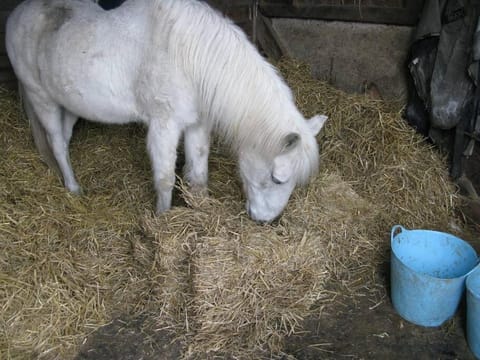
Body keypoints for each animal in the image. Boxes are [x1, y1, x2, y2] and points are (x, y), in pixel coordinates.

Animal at [4, 0, 326, 222]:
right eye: (278, 179)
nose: (265, 220)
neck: (190, 58)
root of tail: (18, 12)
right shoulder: (164, 126)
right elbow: (165, 178)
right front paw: (162, 220)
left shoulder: (197, 124)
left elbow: (198, 173)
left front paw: (199, 208)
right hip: (41, 99)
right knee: (57, 143)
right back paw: (73, 189)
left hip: (70, 105)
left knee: (65, 139)